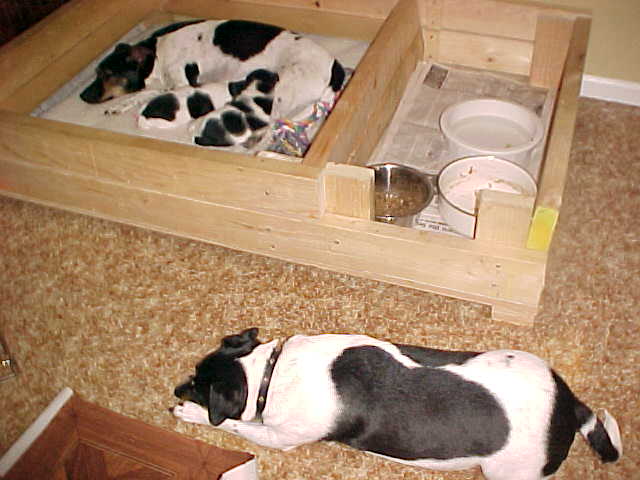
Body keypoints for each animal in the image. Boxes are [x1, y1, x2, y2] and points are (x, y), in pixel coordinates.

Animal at [80, 19, 344, 149]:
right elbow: (141, 95)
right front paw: (119, 106)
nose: (82, 96)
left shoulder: (179, 82)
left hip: (280, 85)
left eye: (107, 73)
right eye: (97, 72)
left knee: (271, 120)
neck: (158, 55)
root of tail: (335, 66)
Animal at [172, 328, 624, 480]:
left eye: (196, 385)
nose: (177, 391)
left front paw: (189, 413)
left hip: (509, 474)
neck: (271, 370)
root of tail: (568, 404)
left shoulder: (279, 437)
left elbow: (230, 424)